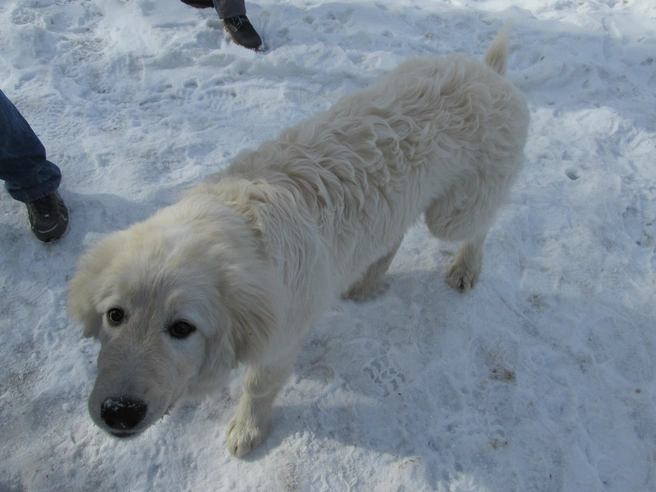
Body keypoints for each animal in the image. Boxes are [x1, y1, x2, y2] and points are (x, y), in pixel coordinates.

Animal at [68, 27, 528, 458]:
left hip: (455, 212)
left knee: (478, 226)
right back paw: (366, 280)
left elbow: (259, 385)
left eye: (182, 327)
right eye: (114, 315)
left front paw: (247, 429)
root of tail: (489, 71)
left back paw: (466, 267)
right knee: (393, 232)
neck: (240, 227)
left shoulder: (283, 335)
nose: (118, 412)